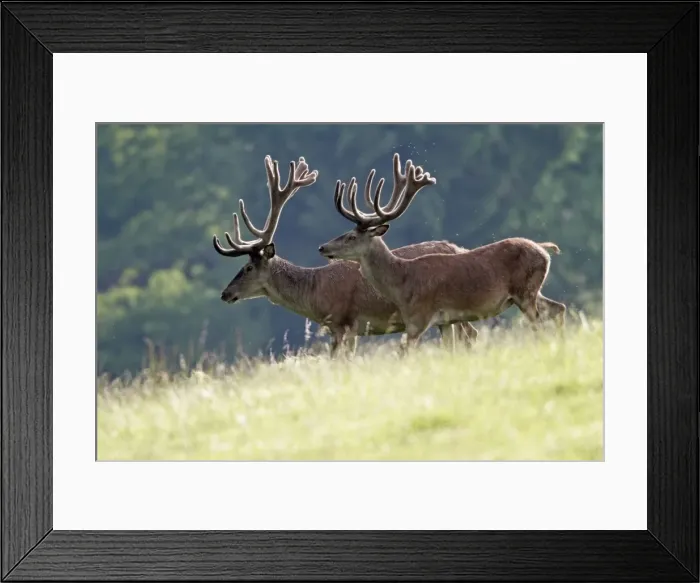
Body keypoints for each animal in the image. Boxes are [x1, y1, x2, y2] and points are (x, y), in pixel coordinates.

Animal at [212, 154, 480, 358]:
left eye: (248, 268)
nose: (225, 293)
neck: (314, 293)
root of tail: (461, 249)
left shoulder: (345, 325)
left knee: (470, 334)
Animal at [317, 153, 568, 353]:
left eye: (351, 237)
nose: (322, 247)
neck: (402, 284)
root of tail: (544, 250)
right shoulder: (445, 321)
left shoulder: (419, 318)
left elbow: (406, 353)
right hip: (531, 291)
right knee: (559, 308)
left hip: (525, 291)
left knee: (539, 324)